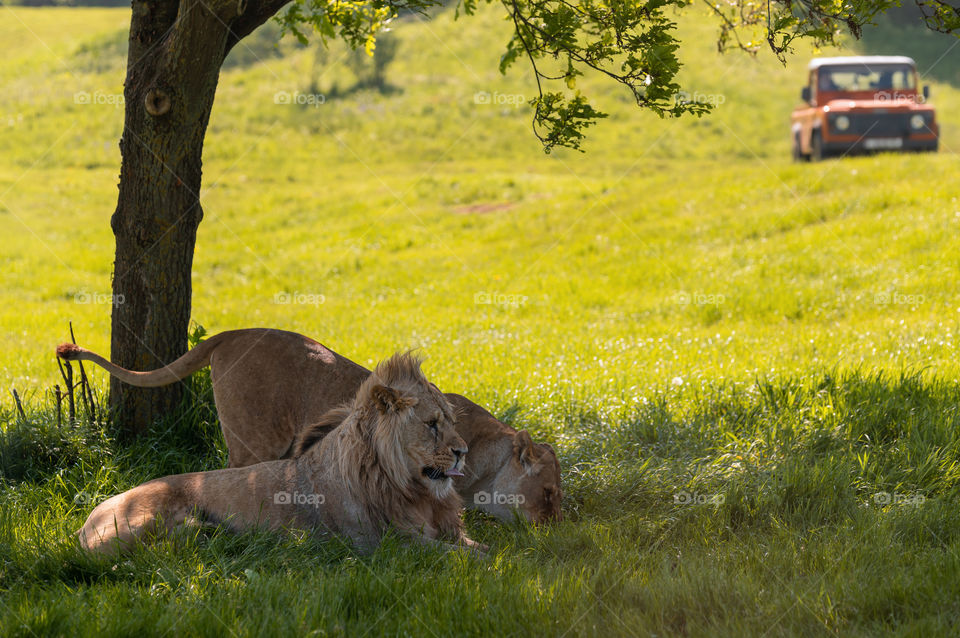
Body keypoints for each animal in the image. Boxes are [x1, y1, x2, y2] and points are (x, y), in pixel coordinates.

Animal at [77, 352, 488, 556]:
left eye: (452, 421)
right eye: (431, 424)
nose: (462, 452)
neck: (413, 491)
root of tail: (89, 516)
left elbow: (479, 545)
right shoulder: (382, 542)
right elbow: (460, 556)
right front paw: (492, 569)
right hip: (135, 524)